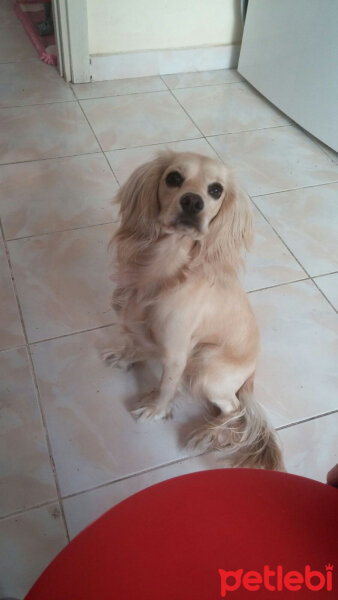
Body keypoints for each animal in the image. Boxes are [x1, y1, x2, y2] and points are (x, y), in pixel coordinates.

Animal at [106, 150, 286, 468]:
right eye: (173, 177)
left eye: (216, 190)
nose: (192, 202)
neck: (164, 265)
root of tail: (252, 371)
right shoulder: (137, 321)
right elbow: (134, 344)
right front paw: (127, 357)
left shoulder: (177, 351)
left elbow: (167, 385)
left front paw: (156, 409)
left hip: (206, 368)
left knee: (234, 409)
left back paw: (208, 433)